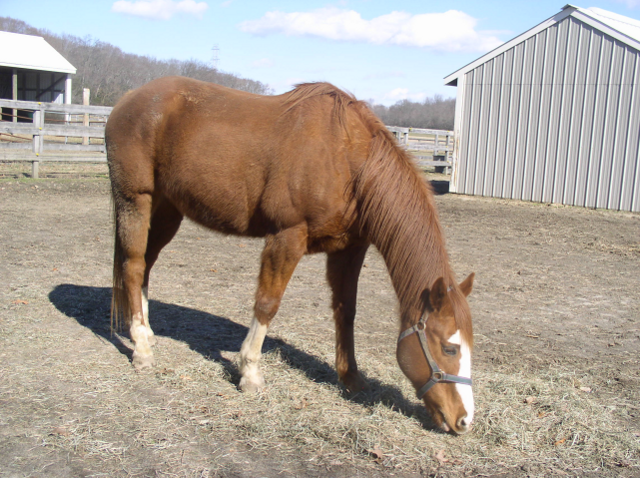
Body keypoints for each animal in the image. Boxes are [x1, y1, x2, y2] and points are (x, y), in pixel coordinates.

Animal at [105, 76, 476, 434]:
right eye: (449, 348)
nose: (464, 420)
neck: (350, 158)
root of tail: (127, 100)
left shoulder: (349, 248)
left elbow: (346, 310)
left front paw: (351, 377)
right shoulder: (287, 237)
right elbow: (267, 304)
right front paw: (250, 374)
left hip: (168, 209)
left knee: (146, 265)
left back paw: (147, 331)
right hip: (135, 199)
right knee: (134, 265)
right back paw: (142, 349)